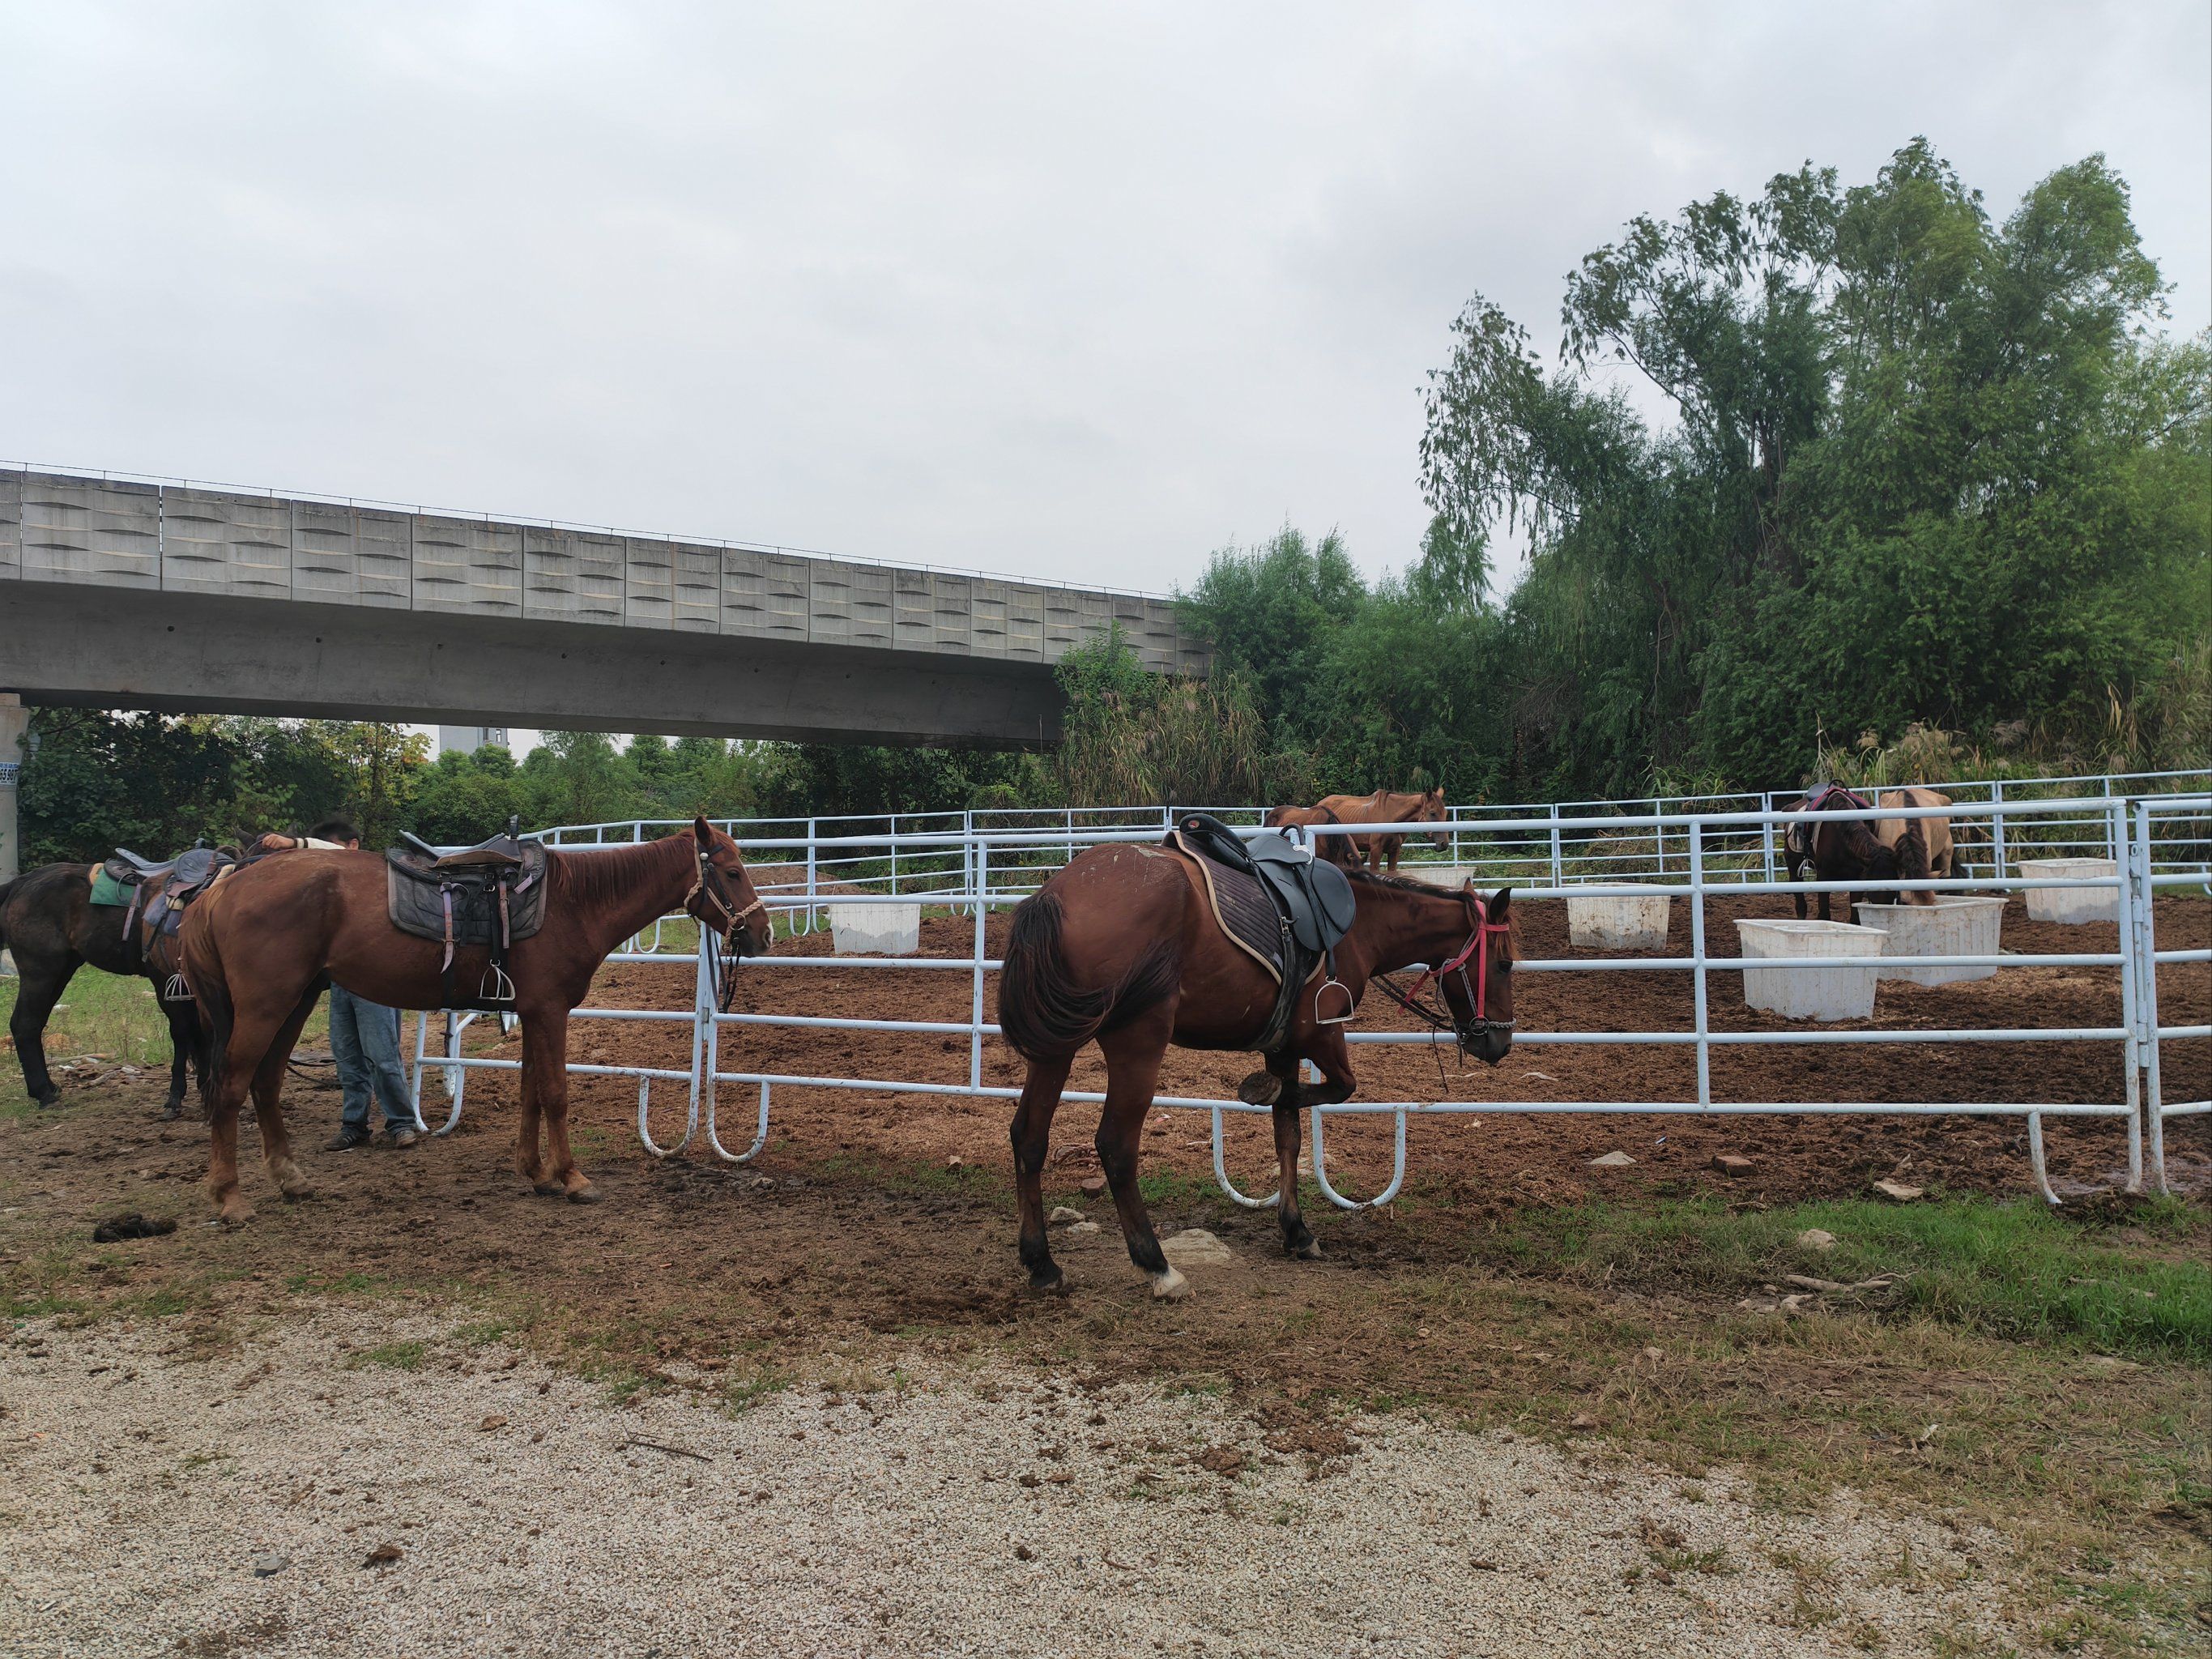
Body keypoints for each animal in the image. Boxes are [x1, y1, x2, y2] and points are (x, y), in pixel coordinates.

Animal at [0, 860, 207, 1116]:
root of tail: (21, 883)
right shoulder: (165, 981)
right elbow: (183, 1032)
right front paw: (176, 1096)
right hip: (40, 972)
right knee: (24, 1024)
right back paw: (44, 1093)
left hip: (61, 971)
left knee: (35, 1023)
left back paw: (49, 1087)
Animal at [179, 817, 772, 1223]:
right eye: (733, 871)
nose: (762, 934)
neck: (574, 902)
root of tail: (225, 885)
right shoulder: (550, 1011)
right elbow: (555, 1092)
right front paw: (573, 1178)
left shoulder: (532, 1011)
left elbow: (531, 1090)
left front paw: (536, 1173)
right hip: (266, 1006)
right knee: (230, 1088)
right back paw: (230, 1197)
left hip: (296, 1002)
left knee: (266, 1084)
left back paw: (291, 1179)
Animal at [996, 841, 1515, 1299]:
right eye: (1506, 964)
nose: (1499, 1042)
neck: (1358, 925)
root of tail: (1057, 894)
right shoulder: (1320, 1034)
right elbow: (1339, 1088)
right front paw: (1265, 1093)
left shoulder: (1283, 1045)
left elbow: (1289, 1135)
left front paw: (1296, 1229)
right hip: (1138, 1042)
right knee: (1115, 1145)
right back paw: (1157, 1265)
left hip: (1055, 1047)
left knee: (1029, 1136)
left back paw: (1042, 1264)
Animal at [1311, 787, 1451, 873]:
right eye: (1432, 813)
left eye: (1446, 813)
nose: (1444, 844)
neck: (1392, 818)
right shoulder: (1376, 850)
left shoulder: (1395, 850)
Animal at [1783, 786, 1899, 922]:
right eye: (1872, 893)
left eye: (1893, 894)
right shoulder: (1823, 875)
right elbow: (1824, 914)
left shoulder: (1858, 877)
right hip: (1792, 861)